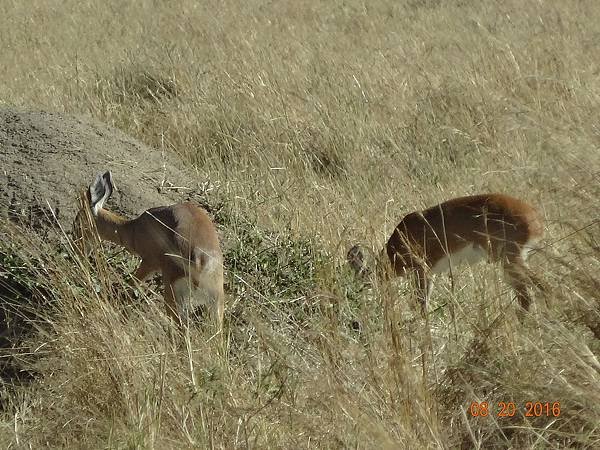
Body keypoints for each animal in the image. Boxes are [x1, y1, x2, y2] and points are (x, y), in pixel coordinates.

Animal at [74, 171, 225, 328]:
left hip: (175, 298)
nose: (77, 248)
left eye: (78, 221)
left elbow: (132, 283)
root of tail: (200, 260)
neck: (134, 229)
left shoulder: (149, 262)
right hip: (216, 304)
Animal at [346, 193, 548, 312]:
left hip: (510, 261)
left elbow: (421, 305)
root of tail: (535, 218)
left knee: (536, 291)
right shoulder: (430, 274)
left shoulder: (422, 271)